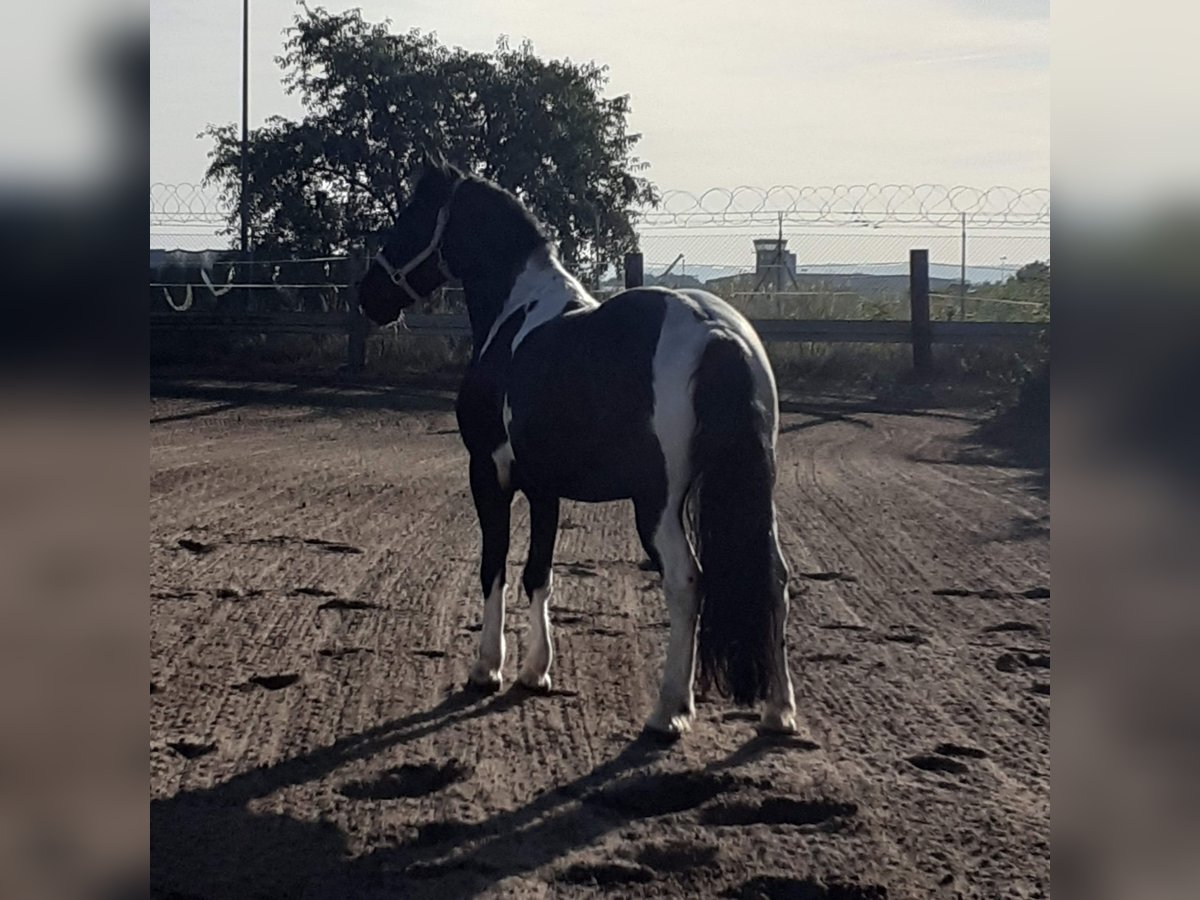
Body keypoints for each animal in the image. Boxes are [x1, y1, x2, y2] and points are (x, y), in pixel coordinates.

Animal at [355, 158, 796, 739]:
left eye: (411, 217)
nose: (367, 295)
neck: (515, 314)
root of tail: (717, 334)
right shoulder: (544, 486)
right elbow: (538, 572)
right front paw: (535, 672)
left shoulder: (488, 474)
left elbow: (494, 565)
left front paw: (486, 669)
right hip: (754, 493)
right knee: (775, 578)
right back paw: (778, 711)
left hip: (658, 504)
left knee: (686, 582)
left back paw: (669, 711)